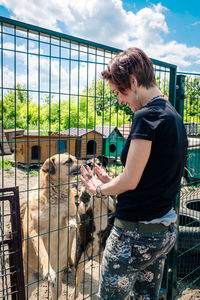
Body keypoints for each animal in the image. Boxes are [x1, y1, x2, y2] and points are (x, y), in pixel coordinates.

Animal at [20, 154, 81, 298]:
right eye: (68, 161)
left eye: (75, 158)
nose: (87, 163)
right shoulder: (35, 232)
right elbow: (43, 252)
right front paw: (49, 271)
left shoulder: (73, 213)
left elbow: (70, 218)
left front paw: (71, 223)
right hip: (27, 286)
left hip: (58, 288)